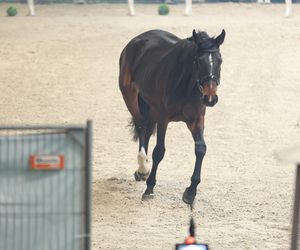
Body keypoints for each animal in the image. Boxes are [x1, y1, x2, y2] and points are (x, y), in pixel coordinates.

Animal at [118, 29, 224, 205]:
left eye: (220, 61)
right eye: (198, 61)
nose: (210, 98)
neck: (186, 85)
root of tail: (138, 39)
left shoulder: (196, 119)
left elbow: (201, 149)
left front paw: (190, 192)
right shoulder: (163, 117)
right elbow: (159, 151)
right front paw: (149, 188)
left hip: (150, 106)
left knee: (147, 130)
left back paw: (141, 171)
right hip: (130, 95)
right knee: (141, 125)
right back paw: (143, 168)